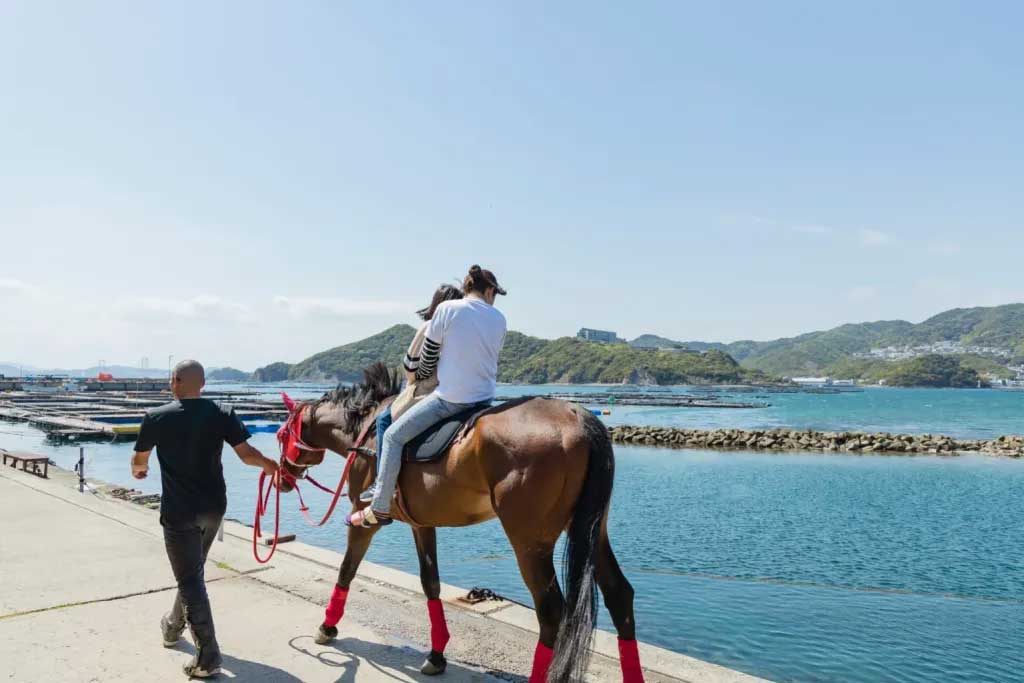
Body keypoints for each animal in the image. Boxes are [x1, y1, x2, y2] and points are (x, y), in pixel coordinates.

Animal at [276, 366, 643, 683]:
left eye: (281, 434)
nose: (281, 477)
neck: (364, 428)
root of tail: (577, 416)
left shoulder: (362, 518)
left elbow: (346, 570)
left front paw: (327, 627)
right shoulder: (422, 524)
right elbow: (431, 584)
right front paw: (436, 655)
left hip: (529, 541)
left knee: (551, 609)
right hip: (591, 528)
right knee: (619, 596)